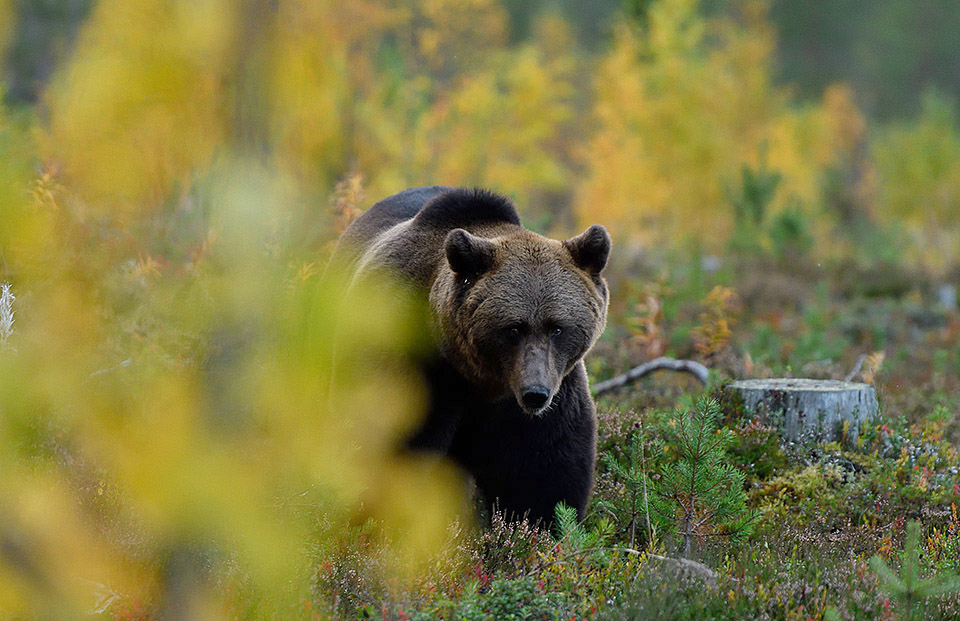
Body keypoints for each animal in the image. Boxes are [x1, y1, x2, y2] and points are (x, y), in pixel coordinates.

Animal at [334, 186, 612, 524]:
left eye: (557, 327)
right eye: (514, 327)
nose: (535, 393)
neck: (479, 379)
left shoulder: (542, 401)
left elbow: (542, 475)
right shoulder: (411, 361)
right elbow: (393, 450)